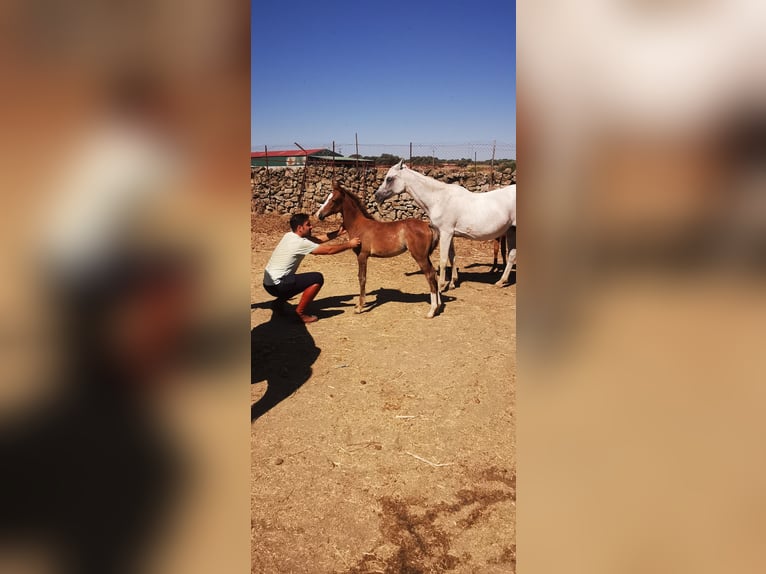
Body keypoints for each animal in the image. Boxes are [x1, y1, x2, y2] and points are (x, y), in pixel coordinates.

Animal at [376, 161, 520, 288]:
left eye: (389, 179)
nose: (377, 196)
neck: (439, 199)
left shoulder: (445, 233)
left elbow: (444, 260)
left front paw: (441, 285)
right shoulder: (450, 234)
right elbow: (452, 257)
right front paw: (452, 282)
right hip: (511, 231)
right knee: (512, 256)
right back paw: (501, 281)